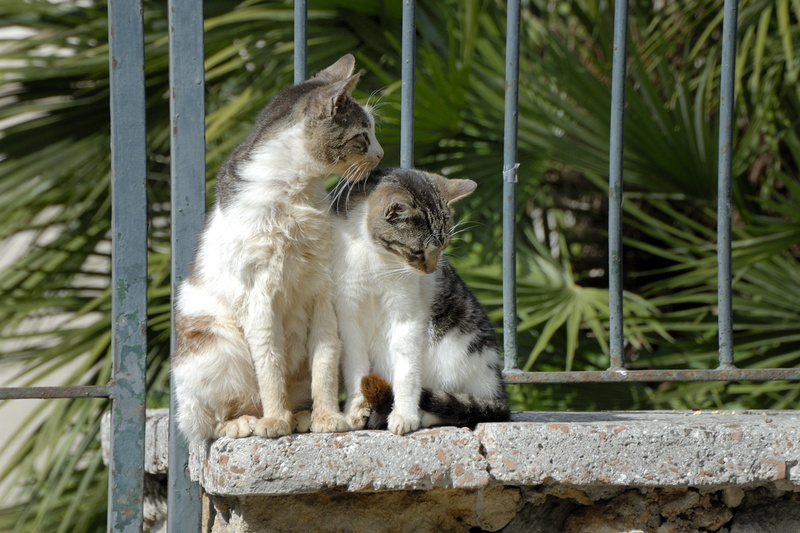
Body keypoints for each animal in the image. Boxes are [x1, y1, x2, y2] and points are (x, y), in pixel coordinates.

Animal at [173, 55, 384, 444]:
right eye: (363, 137)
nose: (380, 154)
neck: (295, 193)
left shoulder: (322, 294)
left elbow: (324, 364)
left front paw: (328, 417)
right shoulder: (260, 299)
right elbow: (270, 365)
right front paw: (274, 422)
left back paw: (301, 416)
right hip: (216, 347)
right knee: (213, 421)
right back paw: (248, 422)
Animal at [330, 168, 506, 434]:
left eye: (443, 247)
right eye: (417, 251)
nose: (431, 270)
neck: (373, 255)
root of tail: (498, 391)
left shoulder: (406, 314)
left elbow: (407, 370)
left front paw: (405, 415)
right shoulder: (349, 315)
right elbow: (355, 370)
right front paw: (354, 410)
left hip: (457, 354)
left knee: (461, 406)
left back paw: (424, 415)